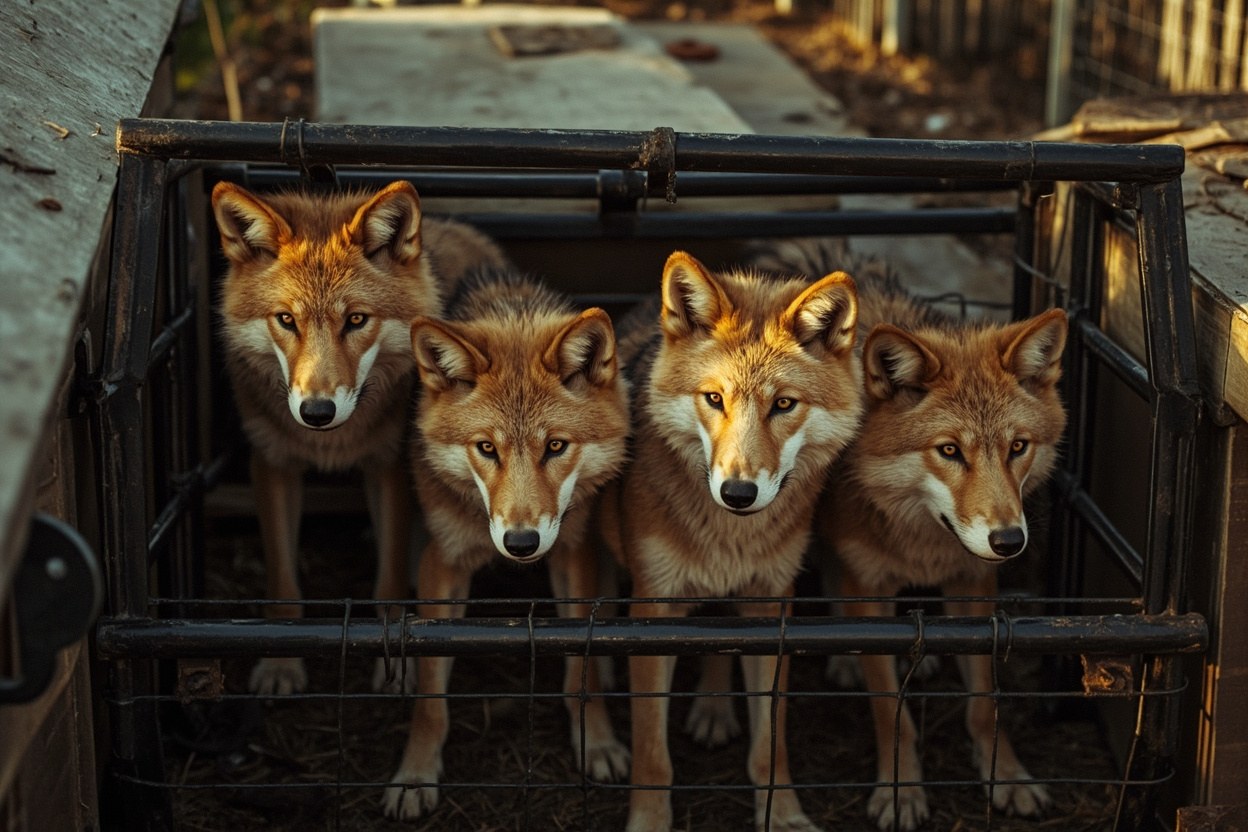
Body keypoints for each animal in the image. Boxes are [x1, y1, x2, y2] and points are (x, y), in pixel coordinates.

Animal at [212, 180, 508, 696]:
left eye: (355, 320)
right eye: (286, 320)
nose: (317, 412)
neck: (331, 445)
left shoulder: (388, 467)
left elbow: (389, 582)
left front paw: (400, 668)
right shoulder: (272, 462)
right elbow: (282, 581)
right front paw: (281, 663)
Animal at [381, 270, 632, 821]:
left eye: (555, 446)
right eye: (486, 448)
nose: (520, 543)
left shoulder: (573, 554)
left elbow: (580, 670)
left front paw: (599, 744)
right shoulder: (443, 562)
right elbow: (432, 694)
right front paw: (414, 773)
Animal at [599, 250, 863, 832]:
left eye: (783, 404)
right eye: (714, 398)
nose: (737, 493)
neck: (729, 536)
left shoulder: (772, 606)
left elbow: (770, 746)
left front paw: (783, 815)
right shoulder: (651, 610)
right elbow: (653, 753)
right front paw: (649, 820)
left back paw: (714, 706)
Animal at [801, 253, 1067, 831]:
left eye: (1017, 447)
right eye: (949, 450)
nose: (1009, 541)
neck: (921, 543)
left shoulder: (975, 583)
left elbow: (984, 702)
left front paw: (1006, 776)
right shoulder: (868, 586)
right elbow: (891, 712)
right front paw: (900, 791)